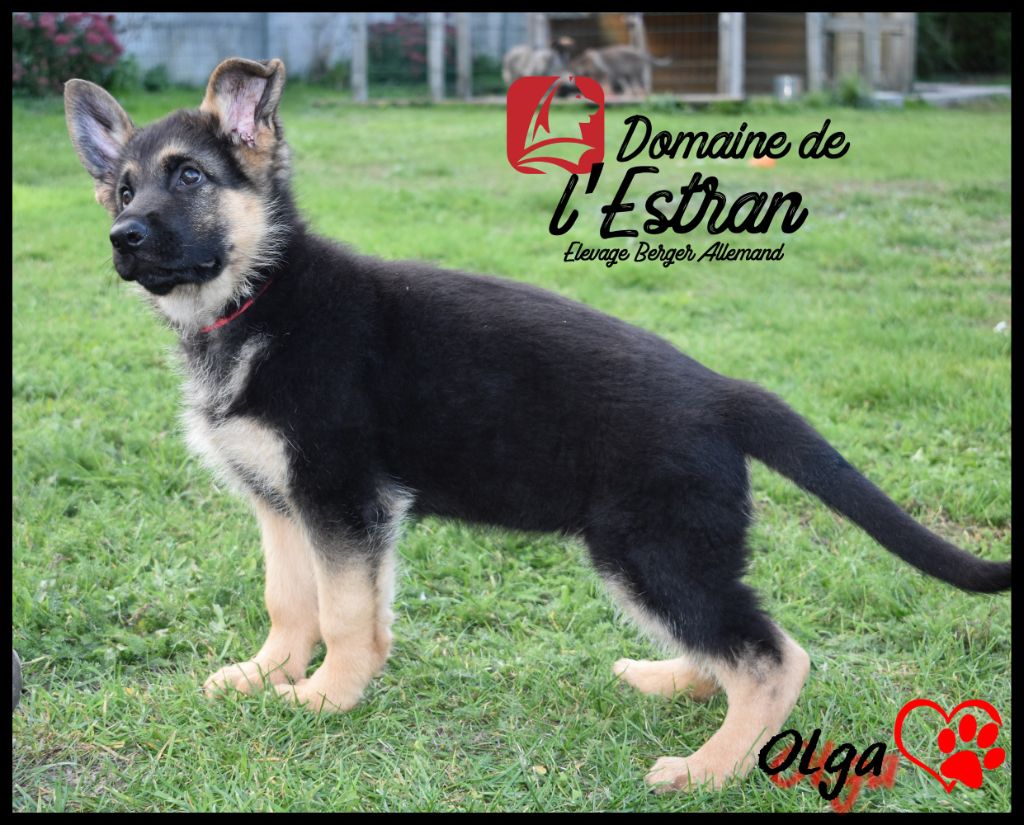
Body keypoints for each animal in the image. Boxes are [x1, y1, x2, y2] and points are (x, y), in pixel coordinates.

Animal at [64, 57, 1010, 792]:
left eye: (189, 177)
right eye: (122, 187)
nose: (122, 236)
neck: (257, 295)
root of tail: (721, 391)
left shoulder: (341, 501)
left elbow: (344, 611)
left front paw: (329, 696)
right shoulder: (280, 501)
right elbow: (290, 600)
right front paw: (267, 675)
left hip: (649, 547)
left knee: (775, 657)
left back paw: (710, 767)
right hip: (669, 554)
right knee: (731, 643)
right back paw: (677, 683)